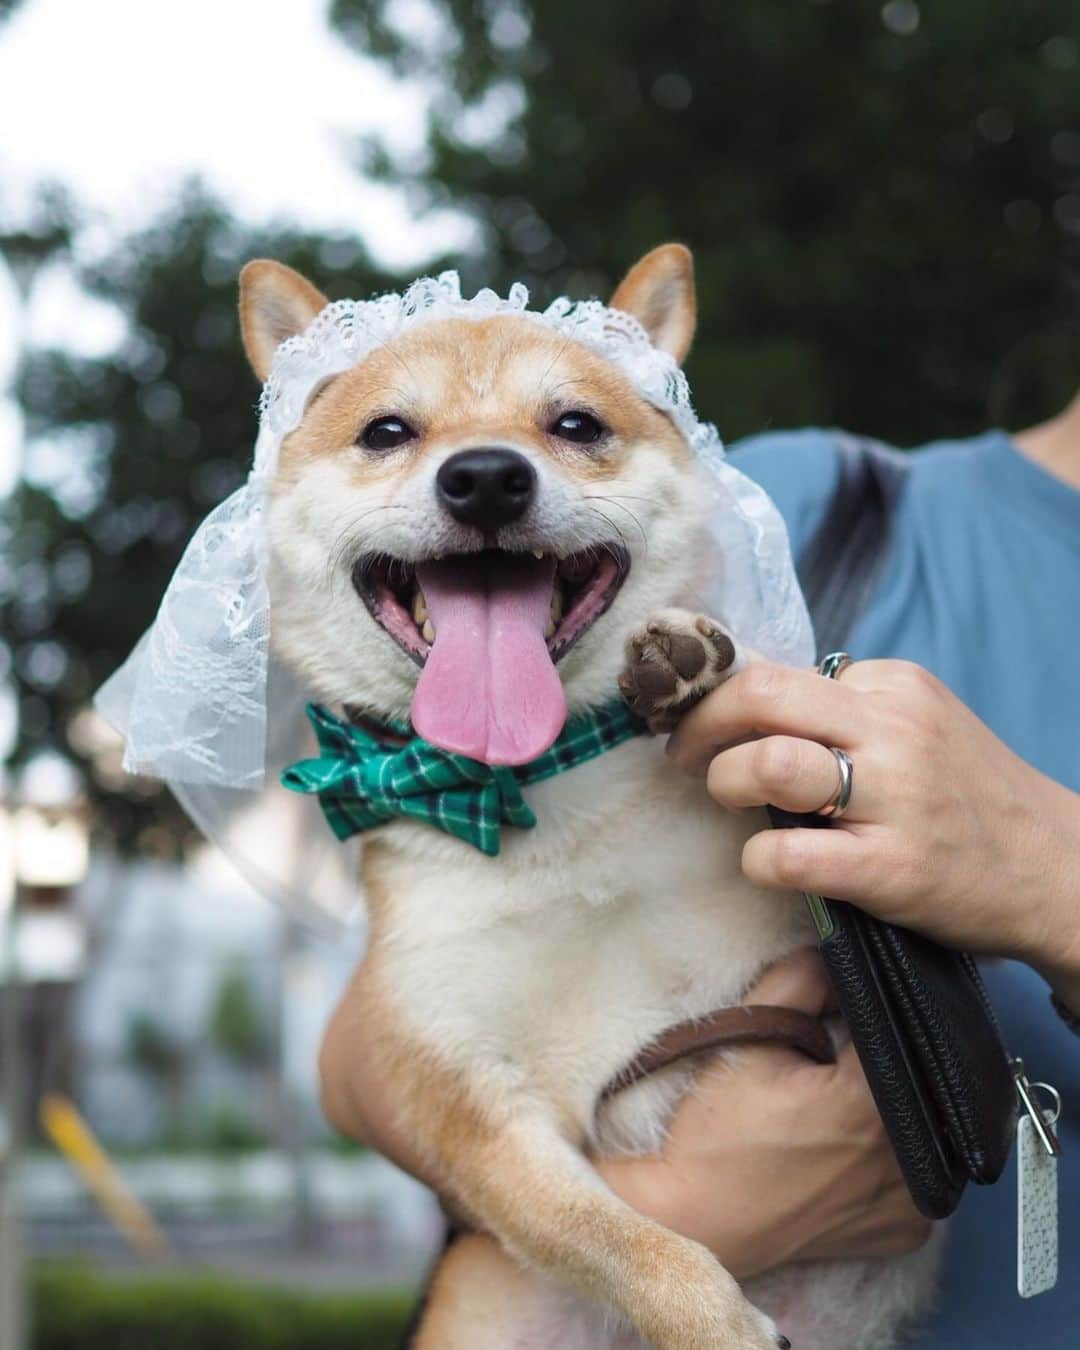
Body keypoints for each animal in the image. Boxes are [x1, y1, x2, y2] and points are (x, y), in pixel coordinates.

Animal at [236, 248, 934, 1344]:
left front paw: (696, 671)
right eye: (388, 432)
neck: (538, 796)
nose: (485, 475)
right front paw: (717, 1323)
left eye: (574, 425)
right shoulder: (473, 1112)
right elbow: (624, 1245)